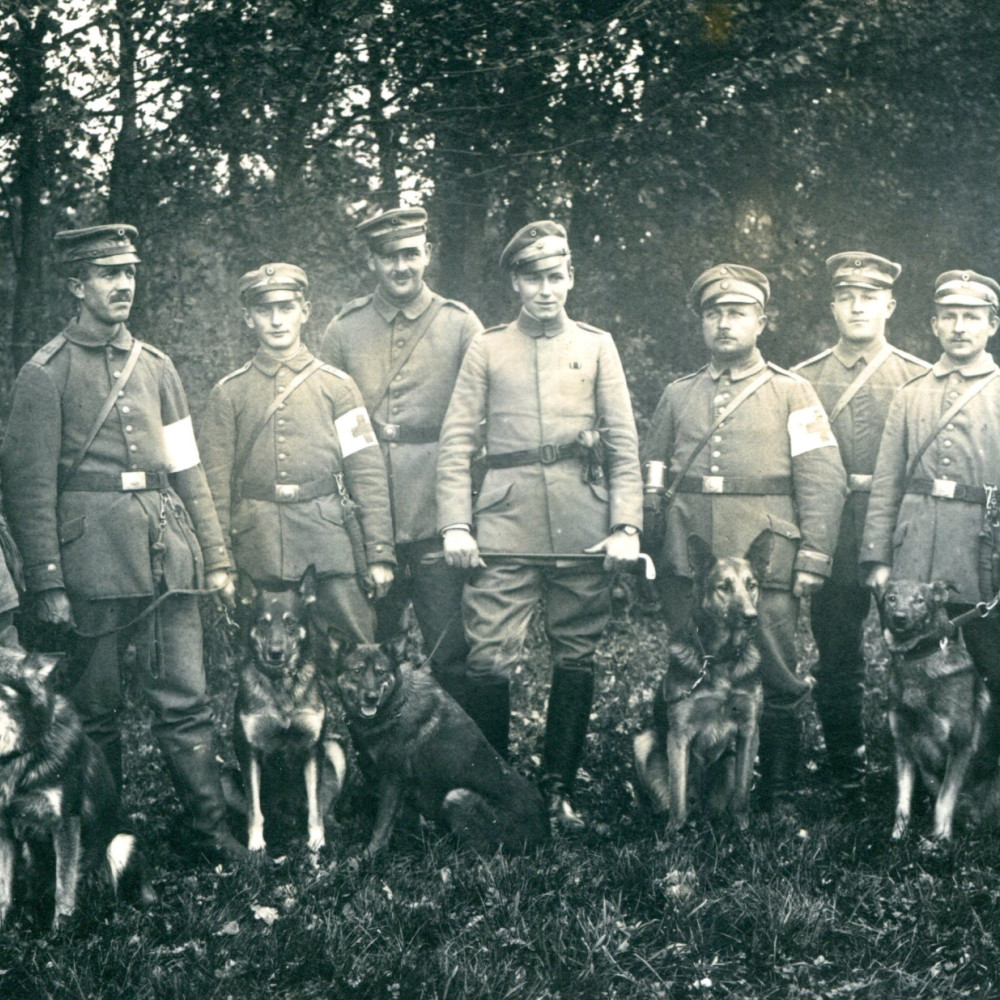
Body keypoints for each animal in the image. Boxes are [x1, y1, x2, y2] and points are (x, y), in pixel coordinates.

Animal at [0, 636, 155, 932]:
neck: (22, 753)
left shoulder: (66, 822)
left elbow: (64, 885)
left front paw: (61, 930)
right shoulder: (4, 827)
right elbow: (3, 889)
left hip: (120, 844)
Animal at [234, 576, 348, 856]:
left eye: (290, 622)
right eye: (263, 623)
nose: (275, 652)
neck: (281, 684)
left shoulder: (313, 747)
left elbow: (315, 808)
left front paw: (317, 841)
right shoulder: (247, 749)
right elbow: (254, 810)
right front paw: (256, 844)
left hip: (334, 749)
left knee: (323, 806)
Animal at [326, 632, 548, 860]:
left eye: (381, 672)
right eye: (357, 671)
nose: (371, 697)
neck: (396, 705)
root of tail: (543, 836)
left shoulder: (393, 778)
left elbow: (382, 824)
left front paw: (369, 855)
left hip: (457, 797)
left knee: (481, 854)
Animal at [632, 536, 764, 832]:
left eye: (751, 585)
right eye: (724, 587)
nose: (751, 617)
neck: (719, 659)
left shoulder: (749, 729)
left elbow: (742, 792)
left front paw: (742, 827)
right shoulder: (679, 735)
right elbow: (677, 794)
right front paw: (674, 834)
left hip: (729, 759)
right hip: (643, 743)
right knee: (670, 798)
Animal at [876, 580, 1000, 844]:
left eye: (919, 600)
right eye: (891, 597)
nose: (899, 618)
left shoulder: (960, 748)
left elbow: (943, 801)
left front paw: (939, 842)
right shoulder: (904, 747)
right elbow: (902, 802)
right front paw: (897, 837)